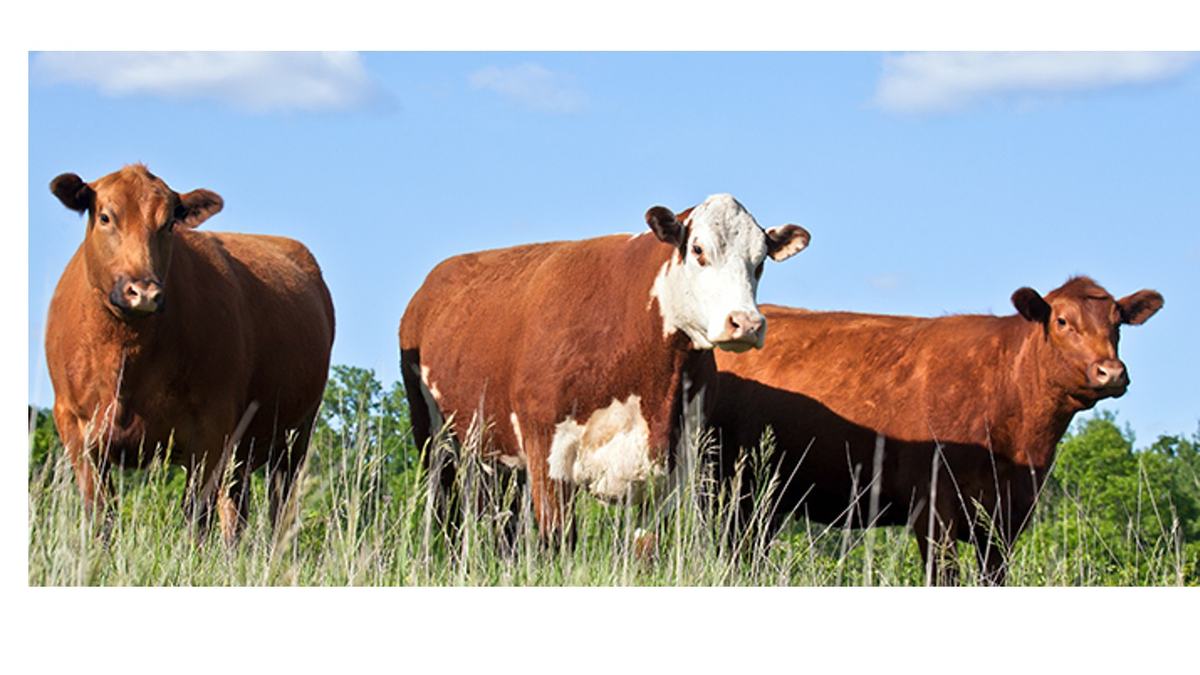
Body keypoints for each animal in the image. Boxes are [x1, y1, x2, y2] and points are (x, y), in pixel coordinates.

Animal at [44, 164, 335, 543]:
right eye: (105, 217)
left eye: (169, 223)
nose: (144, 292)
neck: (125, 358)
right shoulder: (75, 427)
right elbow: (101, 517)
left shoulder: (211, 430)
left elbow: (196, 518)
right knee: (236, 509)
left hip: (295, 436)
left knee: (278, 510)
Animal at [399, 194, 811, 541]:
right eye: (698, 249)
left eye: (760, 262)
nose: (747, 323)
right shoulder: (547, 454)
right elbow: (558, 541)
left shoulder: (670, 468)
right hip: (434, 439)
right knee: (444, 515)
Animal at [710, 276, 1163, 584]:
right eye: (1064, 321)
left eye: (1118, 323)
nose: (1111, 372)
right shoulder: (933, 508)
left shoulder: (1008, 518)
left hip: (764, 496)